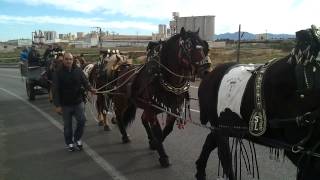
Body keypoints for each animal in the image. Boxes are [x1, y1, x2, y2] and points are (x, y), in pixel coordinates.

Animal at [111, 27, 211, 167]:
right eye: (188, 45)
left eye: (203, 45)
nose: (206, 70)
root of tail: (123, 69)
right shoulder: (152, 110)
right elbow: (158, 131)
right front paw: (163, 156)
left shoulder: (173, 109)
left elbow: (167, 129)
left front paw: (154, 144)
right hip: (122, 100)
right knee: (119, 115)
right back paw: (125, 136)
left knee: (143, 119)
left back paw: (150, 139)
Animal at [196, 25, 320, 180]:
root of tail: (209, 75)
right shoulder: (302, 151)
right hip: (220, 125)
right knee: (224, 156)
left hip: (224, 124)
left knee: (212, 141)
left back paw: (200, 170)